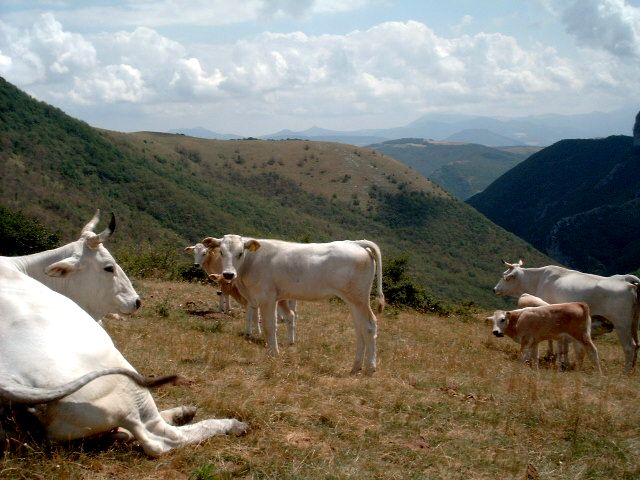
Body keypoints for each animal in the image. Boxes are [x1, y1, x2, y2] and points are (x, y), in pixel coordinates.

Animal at [202, 235, 382, 376]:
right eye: (221, 252)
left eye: (240, 253)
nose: (228, 274)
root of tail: (355, 243)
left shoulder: (267, 297)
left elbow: (269, 326)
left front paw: (273, 354)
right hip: (353, 300)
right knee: (359, 329)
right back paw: (356, 367)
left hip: (359, 298)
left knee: (369, 326)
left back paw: (370, 368)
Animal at [496, 260, 640, 374]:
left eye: (506, 277)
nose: (495, 289)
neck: (538, 280)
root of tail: (630, 285)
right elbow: (563, 343)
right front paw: (564, 362)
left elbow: (553, 340)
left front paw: (551, 356)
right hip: (633, 323)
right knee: (637, 345)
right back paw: (632, 370)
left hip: (621, 324)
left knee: (629, 347)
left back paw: (625, 372)